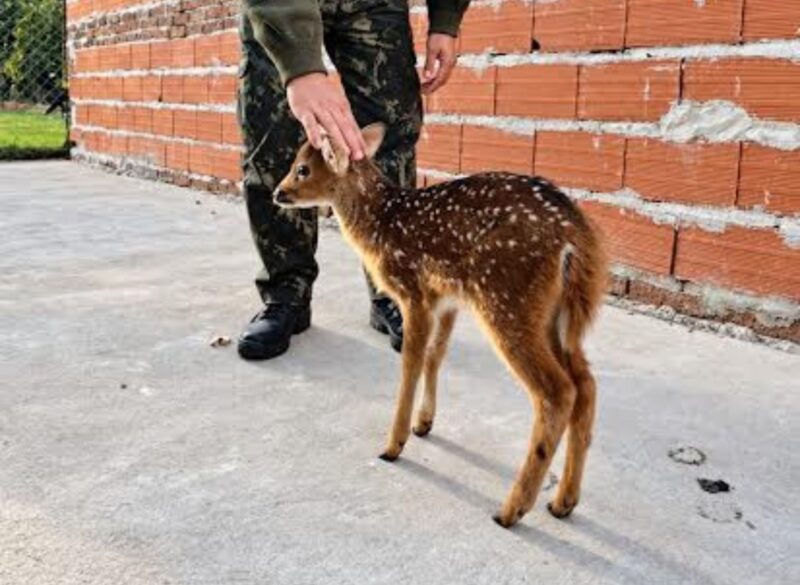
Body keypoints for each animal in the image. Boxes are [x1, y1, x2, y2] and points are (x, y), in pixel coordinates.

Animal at [273, 123, 608, 528]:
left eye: (302, 169)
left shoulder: (413, 292)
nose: (277, 192)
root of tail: (575, 235)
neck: (381, 223)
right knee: (585, 384)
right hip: (555, 315)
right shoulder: (447, 299)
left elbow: (410, 364)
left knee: (557, 391)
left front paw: (394, 444)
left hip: (507, 300)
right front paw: (424, 423)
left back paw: (511, 509)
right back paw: (564, 501)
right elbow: (435, 356)